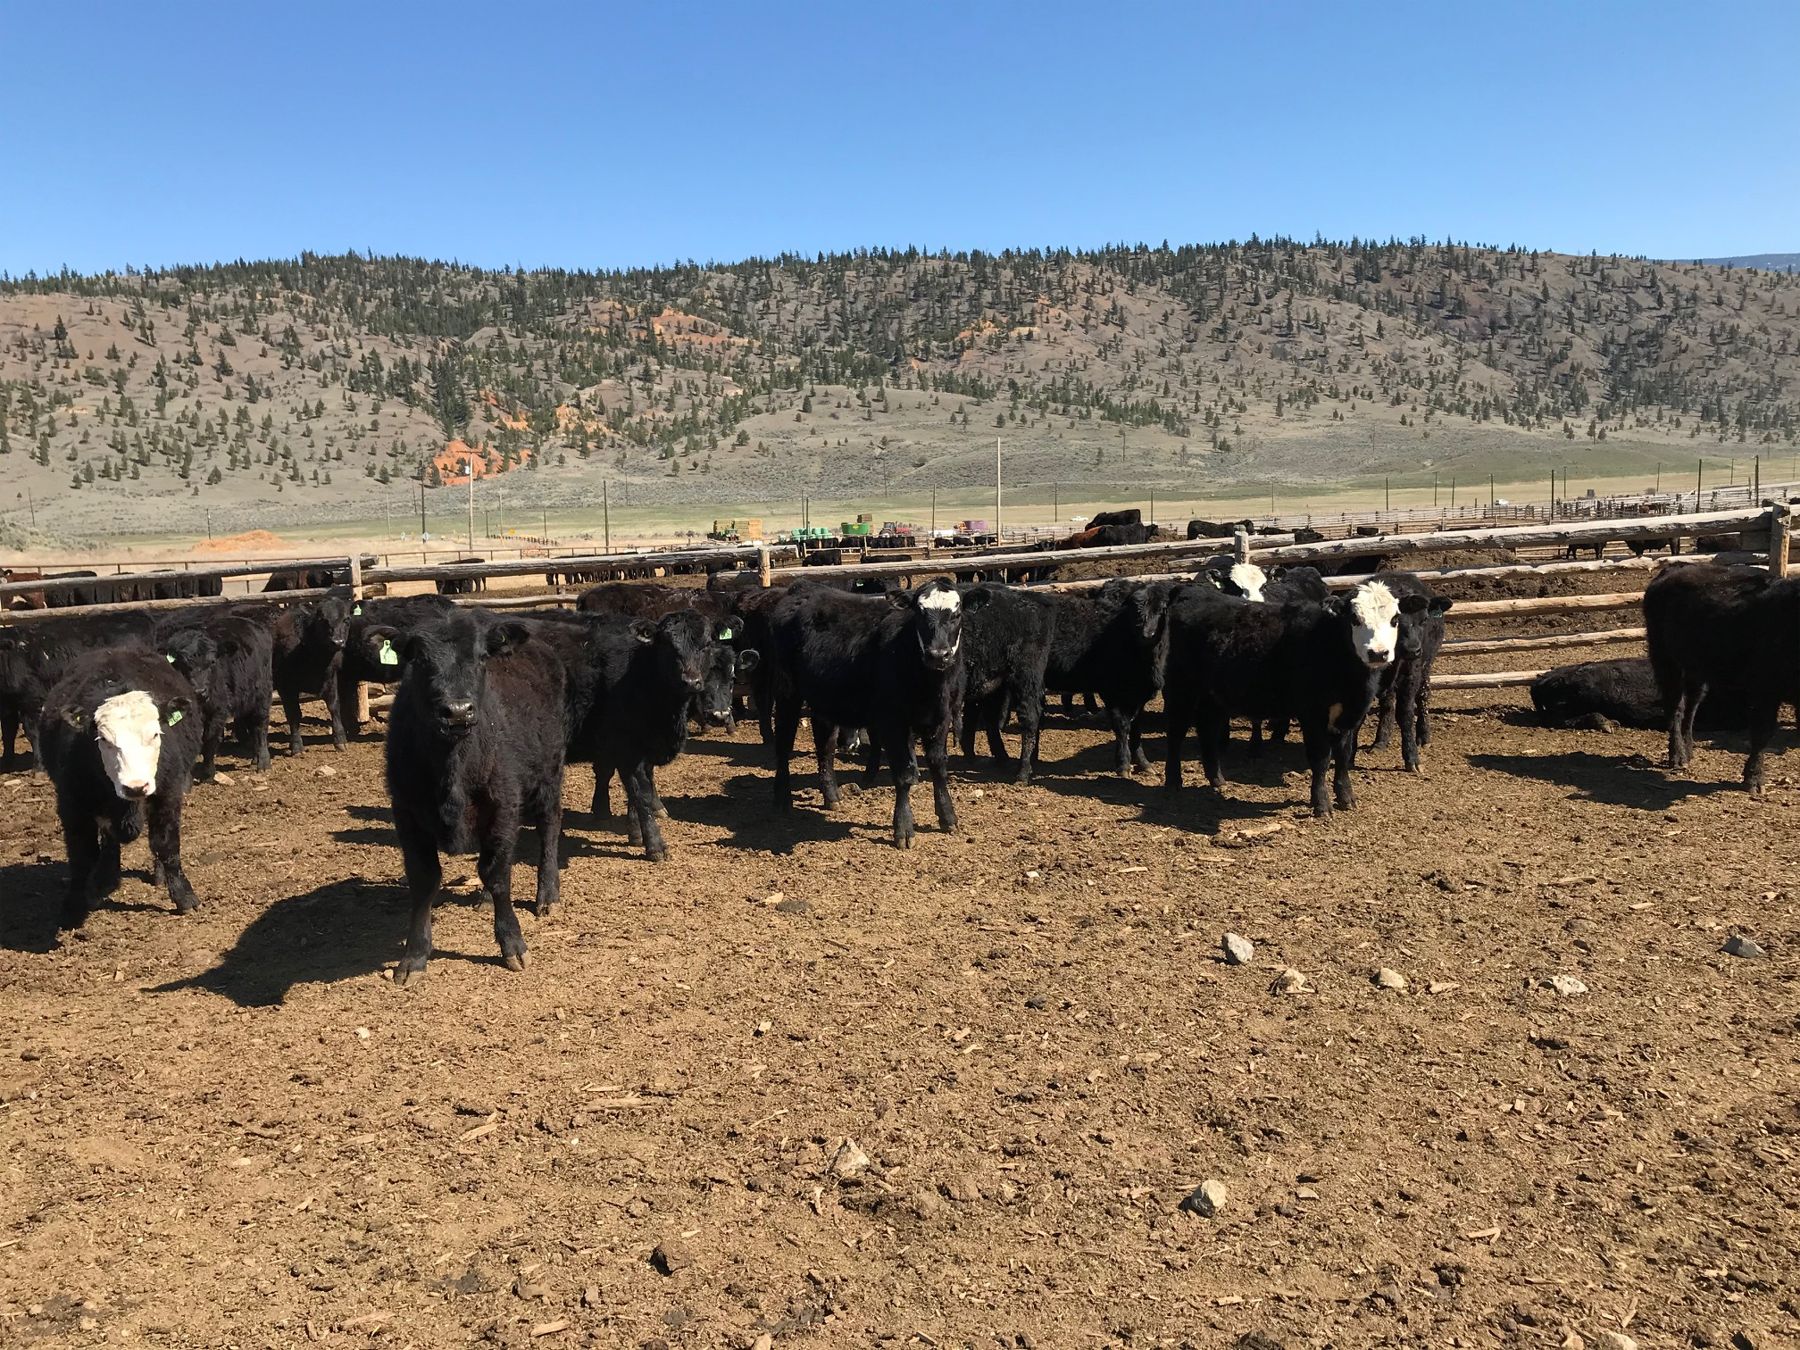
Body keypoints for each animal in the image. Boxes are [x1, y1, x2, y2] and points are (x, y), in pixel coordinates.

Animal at [36, 648, 204, 929]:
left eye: (155, 734)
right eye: (104, 739)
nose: (136, 787)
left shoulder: (168, 795)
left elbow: (166, 845)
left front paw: (184, 897)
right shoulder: (72, 803)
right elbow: (82, 857)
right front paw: (74, 907)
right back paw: (105, 879)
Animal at [374, 611, 566, 985]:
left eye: (480, 658)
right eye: (419, 659)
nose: (458, 711)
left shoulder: (504, 807)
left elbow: (498, 875)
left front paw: (512, 944)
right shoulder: (406, 815)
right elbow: (424, 880)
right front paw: (414, 957)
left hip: (550, 770)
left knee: (549, 826)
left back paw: (547, 893)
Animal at [768, 578, 980, 848]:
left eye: (957, 613)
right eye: (919, 613)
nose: (938, 654)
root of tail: (804, 588)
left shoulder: (943, 717)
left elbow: (938, 765)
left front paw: (948, 817)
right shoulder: (892, 721)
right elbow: (903, 774)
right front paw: (903, 829)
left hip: (824, 698)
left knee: (825, 744)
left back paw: (831, 795)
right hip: (786, 689)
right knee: (784, 742)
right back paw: (782, 797)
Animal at [1643, 562, 1800, 791]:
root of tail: (1673, 570)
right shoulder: (1764, 689)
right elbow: (1762, 732)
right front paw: (1753, 779)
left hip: (1696, 669)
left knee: (1692, 706)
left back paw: (1688, 749)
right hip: (1665, 659)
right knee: (1675, 708)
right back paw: (1677, 755)